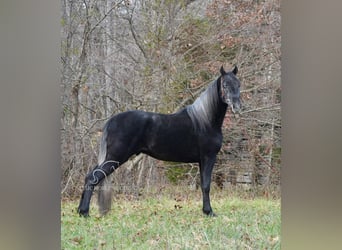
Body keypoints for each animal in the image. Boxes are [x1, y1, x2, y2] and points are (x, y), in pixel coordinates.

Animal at [79, 65, 242, 217]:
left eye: (239, 84)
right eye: (225, 85)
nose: (237, 107)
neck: (205, 121)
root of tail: (111, 121)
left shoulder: (202, 160)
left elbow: (203, 184)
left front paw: (205, 211)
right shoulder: (209, 157)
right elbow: (207, 185)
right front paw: (209, 212)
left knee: (89, 177)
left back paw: (81, 211)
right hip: (115, 158)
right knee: (93, 178)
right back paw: (85, 213)